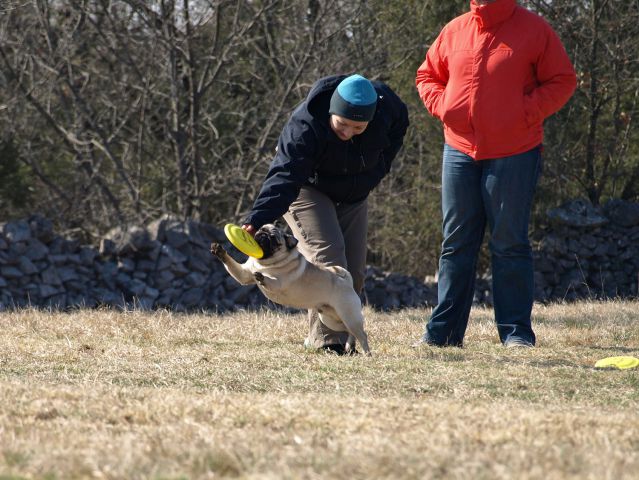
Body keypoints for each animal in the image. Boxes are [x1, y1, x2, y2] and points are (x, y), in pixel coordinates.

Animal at [211, 223, 370, 354]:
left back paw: (367, 354)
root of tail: (345, 280)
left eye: (274, 239)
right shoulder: (244, 274)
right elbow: (231, 264)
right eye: (261, 229)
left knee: (362, 334)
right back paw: (349, 347)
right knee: (349, 331)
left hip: (348, 315)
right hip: (330, 319)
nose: (263, 235)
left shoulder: (278, 284)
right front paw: (219, 251)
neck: (264, 262)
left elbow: (270, 280)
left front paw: (261, 277)